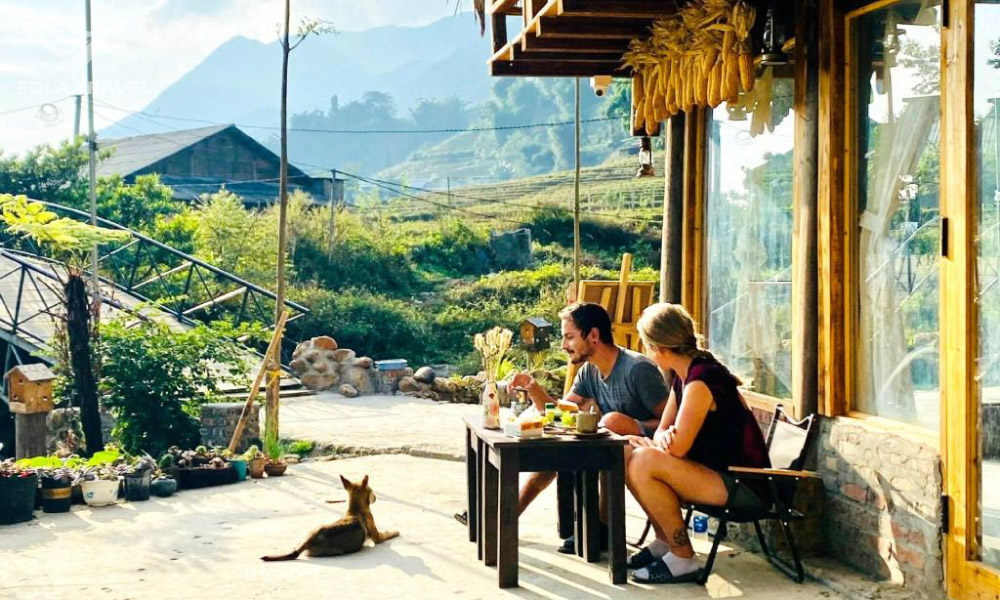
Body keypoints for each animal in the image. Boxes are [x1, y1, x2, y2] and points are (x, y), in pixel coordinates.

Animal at [262, 474, 398, 564]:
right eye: (371, 490)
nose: (376, 497)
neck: (355, 509)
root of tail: (308, 542)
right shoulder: (377, 537)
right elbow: (387, 533)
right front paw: (395, 531)